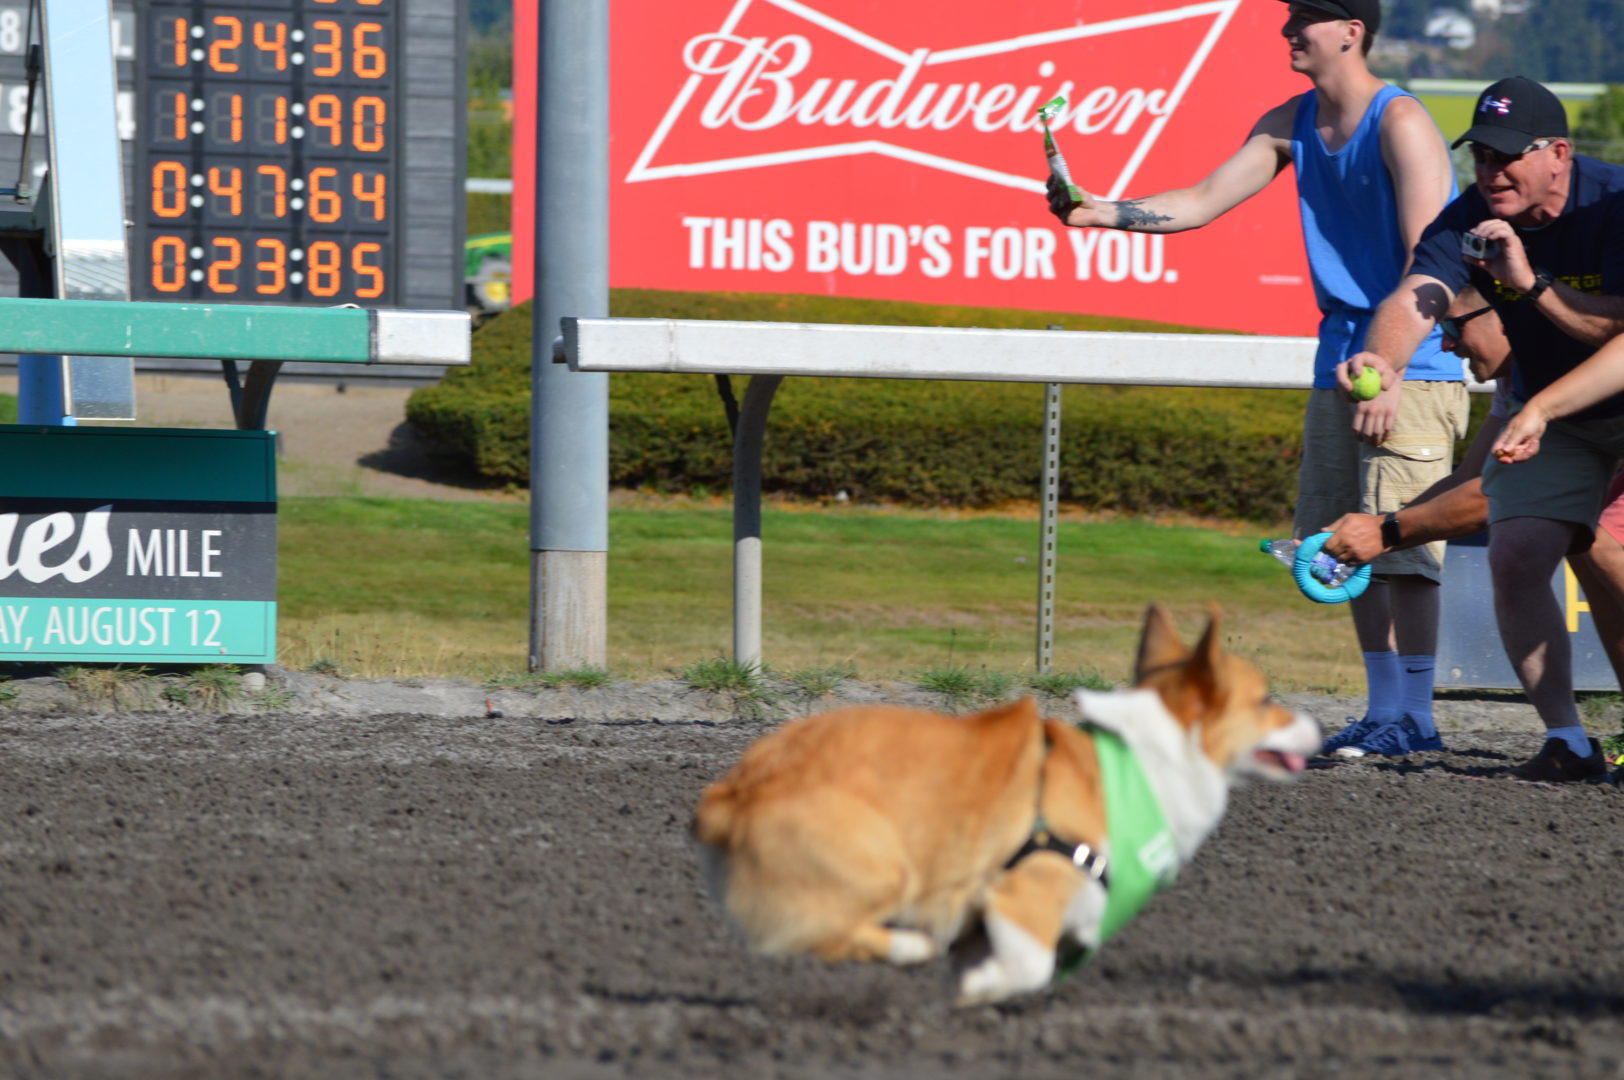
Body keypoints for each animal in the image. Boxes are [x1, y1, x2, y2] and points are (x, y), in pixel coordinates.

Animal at [691, 605, 1321, 1003]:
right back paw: (909, 946)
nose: (1317, 727)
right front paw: (975, 991)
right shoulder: (1026, 893)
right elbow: (1032, 966)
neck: (1139, 764)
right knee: (818, 934)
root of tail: (731, 794)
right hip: (881, 864)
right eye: (1266, 700)